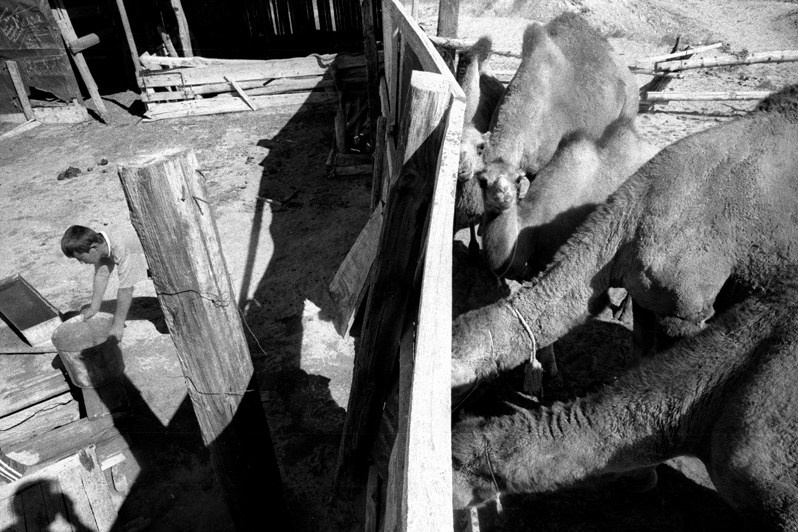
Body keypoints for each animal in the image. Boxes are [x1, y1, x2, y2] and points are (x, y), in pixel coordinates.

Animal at [451, 85, 798, 391]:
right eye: (483, 179)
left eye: (456, 378)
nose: (503, 195)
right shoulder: (646, 291)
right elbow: (638, 351)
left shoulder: (687, 310)